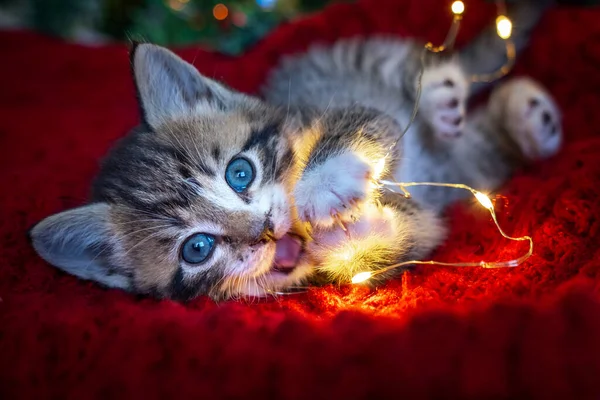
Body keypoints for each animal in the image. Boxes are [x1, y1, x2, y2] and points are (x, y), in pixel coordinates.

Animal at [29, 0, 564, 300]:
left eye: (239, 173)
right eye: (197, 249)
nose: (265, 229)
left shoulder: (342, 111)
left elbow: (362, 125)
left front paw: (321, 189)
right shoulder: (419, 232)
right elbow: (399, 241)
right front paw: (346, 236)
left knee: (431, 69)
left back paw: (442, 94)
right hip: (467, 169)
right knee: (483, 151)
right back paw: (527, 120)